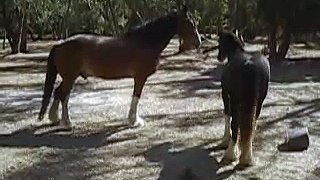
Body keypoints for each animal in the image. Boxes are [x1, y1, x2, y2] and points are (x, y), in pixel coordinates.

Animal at [38, 6, 200, 127]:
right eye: (190, 23)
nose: (199, 42)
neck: (145, 41)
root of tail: (59, 45)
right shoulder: (140, 77)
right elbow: (136, 96)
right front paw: (134, 121)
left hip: (69, 76)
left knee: (59, 92)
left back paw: (55, 118)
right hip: (70, 76)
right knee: (63, 94)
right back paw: (67, 122)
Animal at [218, 29, 270, 169]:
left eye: (220, 42)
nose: (219, 57)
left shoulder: (225, 94)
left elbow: (227, 115)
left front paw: (225, 140)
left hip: (236, 100)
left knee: (235, 124)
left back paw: (231, 154)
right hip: (259, 102)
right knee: (252, 123)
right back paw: (247, 157)